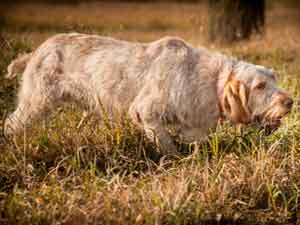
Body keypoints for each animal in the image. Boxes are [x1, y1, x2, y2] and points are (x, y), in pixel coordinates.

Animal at [4, 33, 292, 155]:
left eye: (274, 79)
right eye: (260, 86)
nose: (290, 102)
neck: (211, 81)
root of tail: (37, 50)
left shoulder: (192, 124)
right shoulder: (145, 112)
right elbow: (168, 147)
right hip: (35, 103)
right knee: (10, 123)